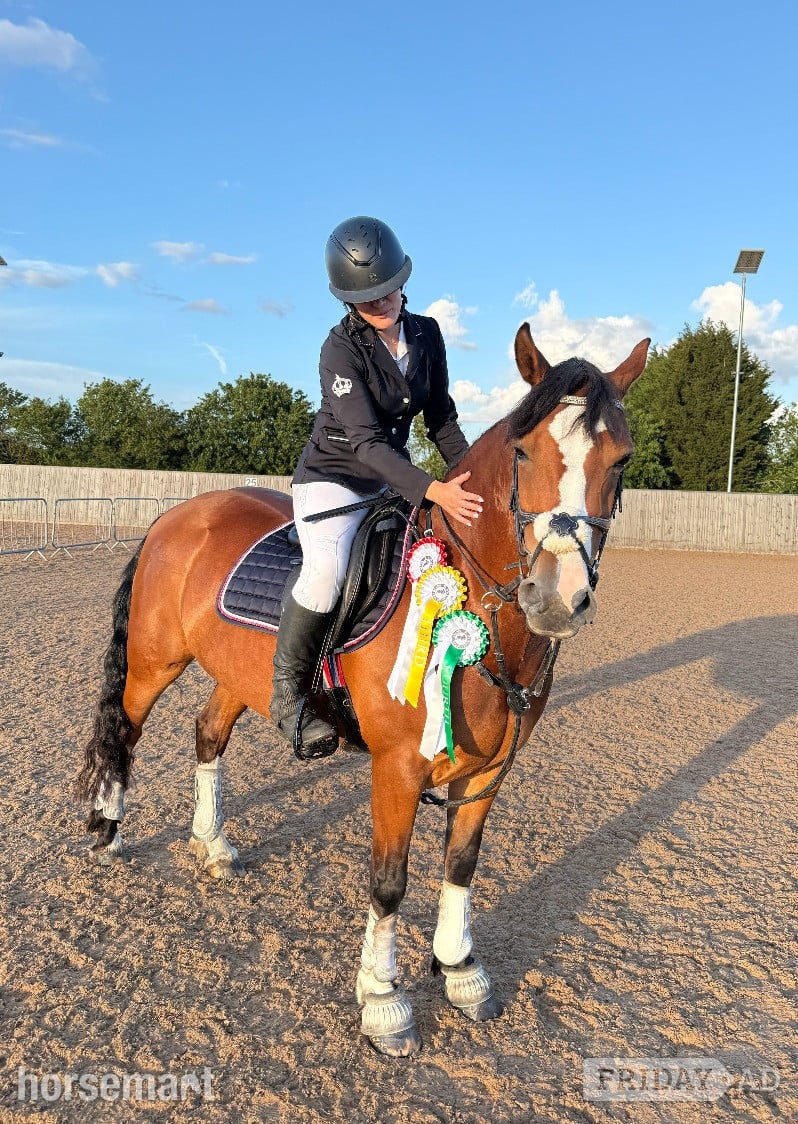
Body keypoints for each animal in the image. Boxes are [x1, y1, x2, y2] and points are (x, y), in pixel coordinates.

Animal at [77, 324, 649, 1057]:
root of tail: (180, 514)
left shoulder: (490, 768)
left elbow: (461, 864)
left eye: (621, 460)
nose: (556, 598)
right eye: (524, 452)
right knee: (124, 728)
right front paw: (384, 1004)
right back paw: (107, 828)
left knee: (207, 734)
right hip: (154, 661)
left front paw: (461, 973)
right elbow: (389, 881)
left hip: (237, 674)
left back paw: (213, 845)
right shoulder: (398, 768)